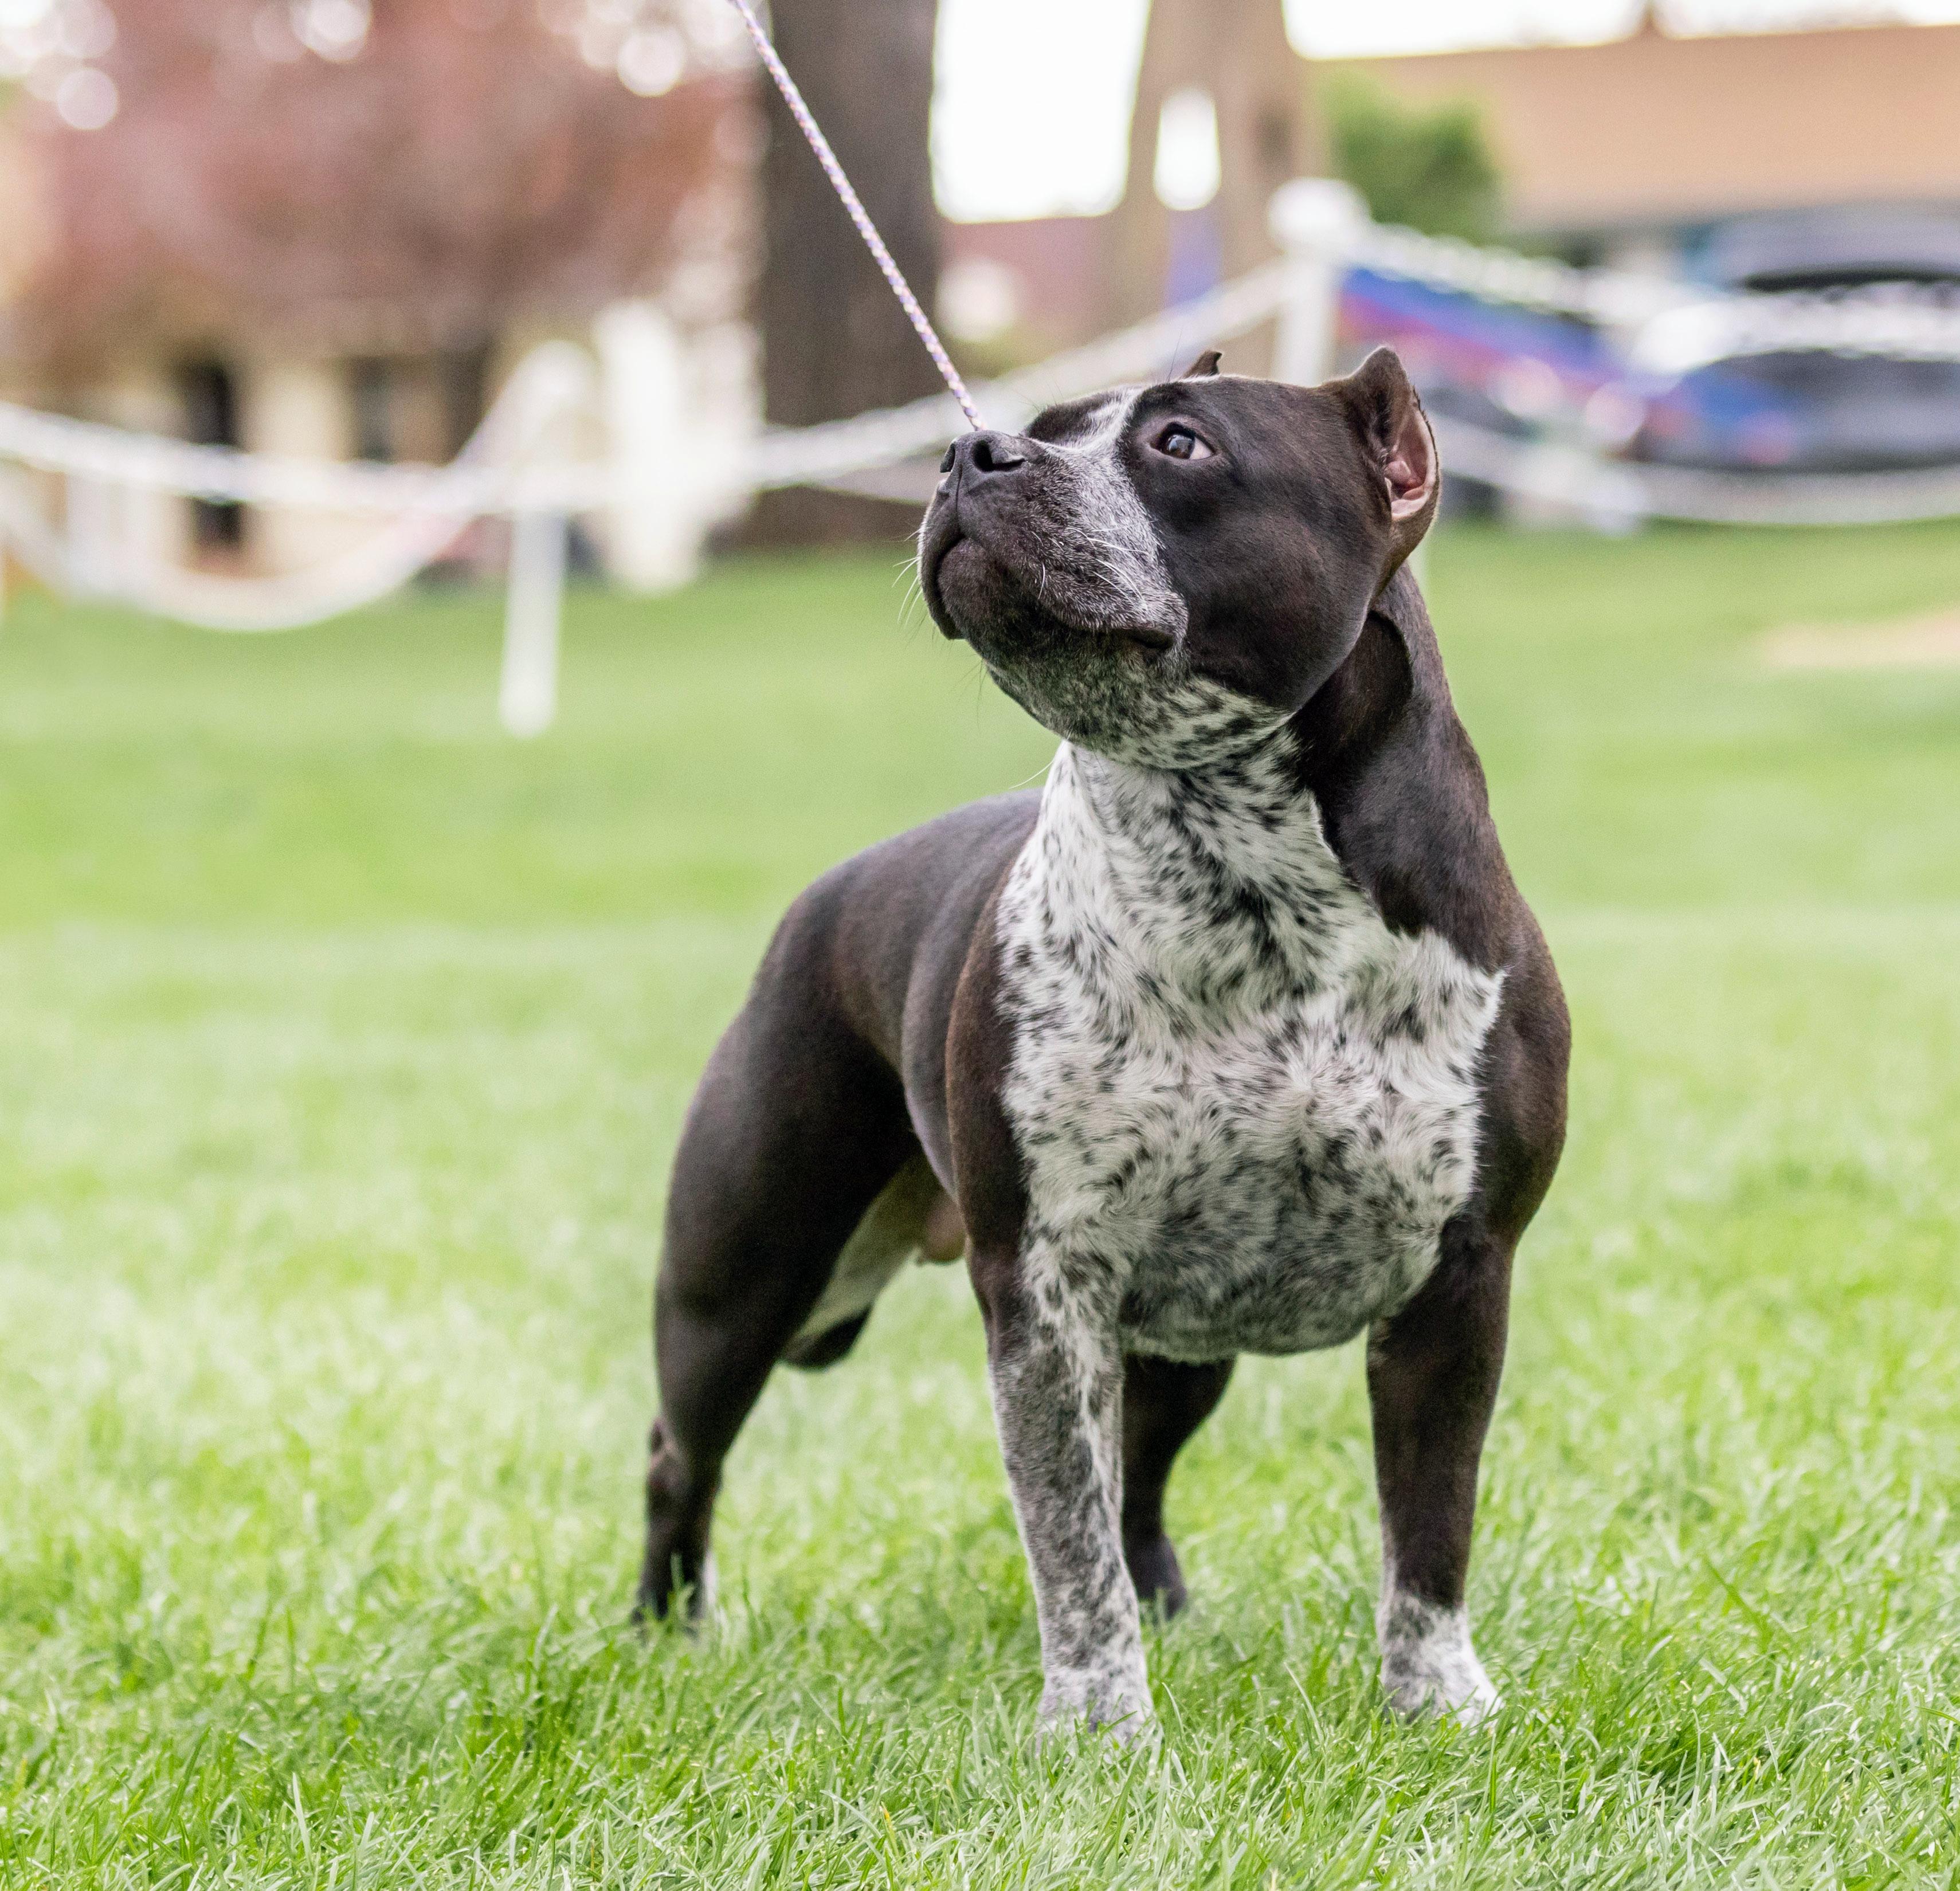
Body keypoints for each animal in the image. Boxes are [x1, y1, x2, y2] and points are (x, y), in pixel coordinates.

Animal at [637, 347, 1569, 1737]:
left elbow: (1429, 1526)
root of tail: (827, 895)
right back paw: (662, 1634)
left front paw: (1437, 1705)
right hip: (744, 1282)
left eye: (1182, 444)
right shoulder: (1042, 1294)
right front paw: (1098, 1728)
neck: (1240, 869)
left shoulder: (1458, 1282)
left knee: (1142, 1479)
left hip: (1176, 1345)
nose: (973, 455)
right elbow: (1065, 1536)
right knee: (680, 1454)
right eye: (1040, 425)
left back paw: (1173, 1616)